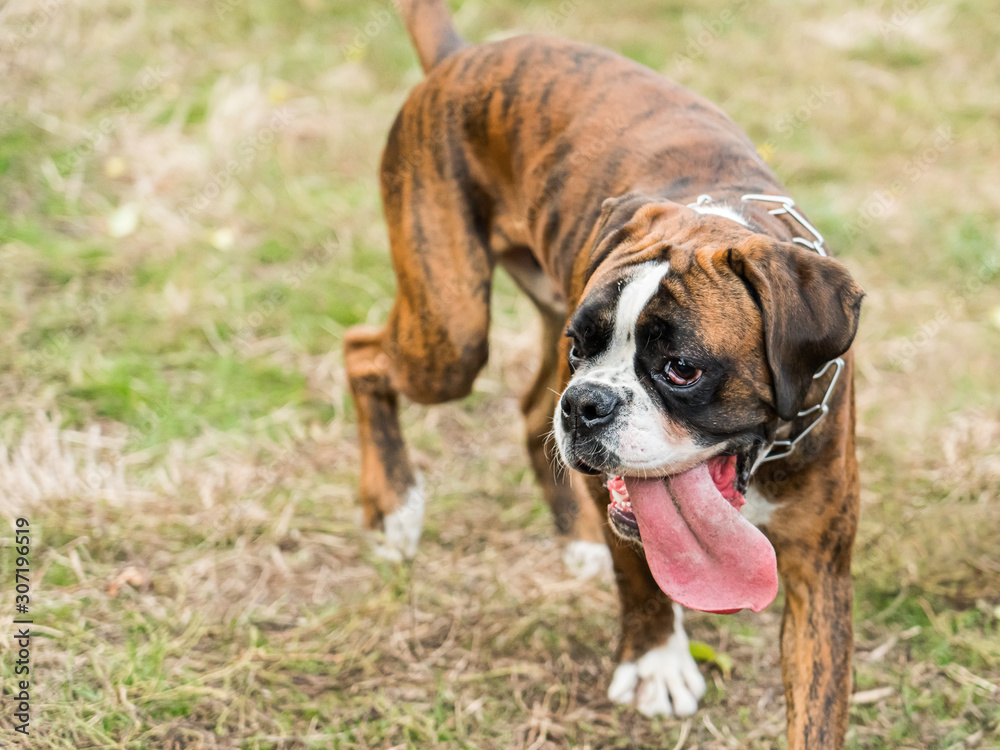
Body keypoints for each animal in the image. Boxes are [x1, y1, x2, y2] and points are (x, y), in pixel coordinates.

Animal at [344, 2, 860, 748]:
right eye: (582, 347)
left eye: (681, 369)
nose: (586, 403)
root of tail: (460, 56)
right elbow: (638, 573)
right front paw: (657, 662)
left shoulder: (821, 570)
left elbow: (817, 709)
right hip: (451, 329)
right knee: (362, 354)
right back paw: (394, 509)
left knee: (530, 412)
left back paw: (574, 540)